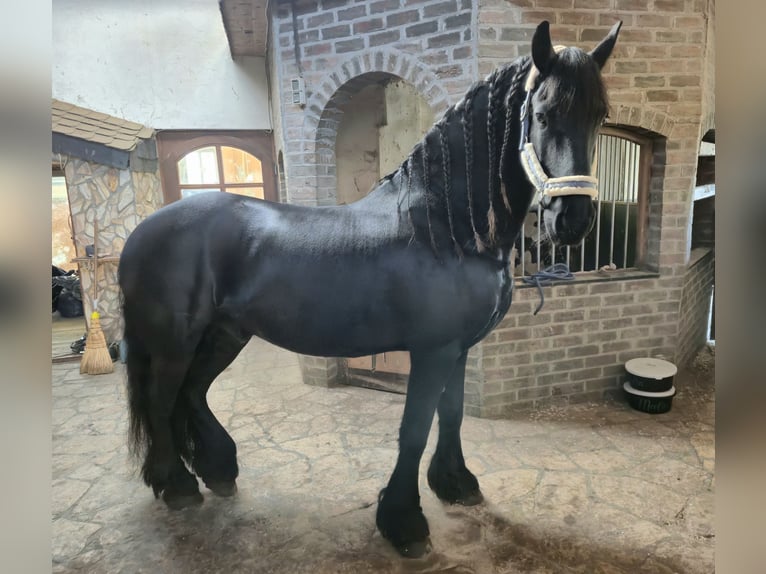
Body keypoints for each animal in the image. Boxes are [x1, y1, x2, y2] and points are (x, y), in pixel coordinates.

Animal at [118, 20, 622, 558]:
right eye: (543, 114)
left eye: (600, 116)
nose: (573, 220)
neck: (445, 228)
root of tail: (140, 233)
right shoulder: (433, 350)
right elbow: (414, 429)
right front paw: (404, 522)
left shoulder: (460, 348)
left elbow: (453, 415)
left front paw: (456, 484)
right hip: (174, 344)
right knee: (162, 402)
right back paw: (177, 486)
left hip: (223, 335)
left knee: (191, 394)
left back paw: (217, 471)